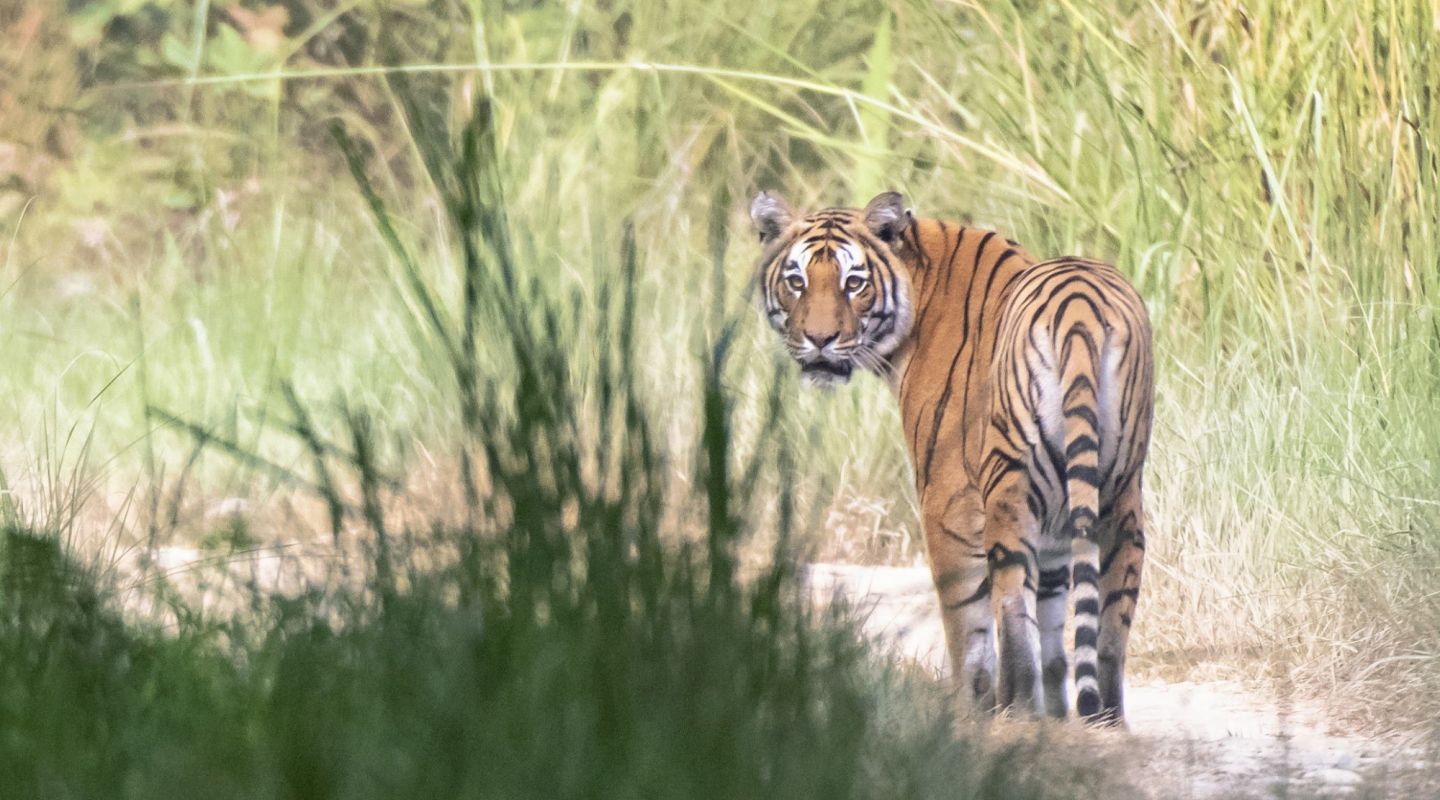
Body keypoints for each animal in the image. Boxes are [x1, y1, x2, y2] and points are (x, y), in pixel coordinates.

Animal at [748, 189, 1152, 722]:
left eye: (853, 283)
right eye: (796, 282)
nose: (819, 341)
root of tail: (1080, 309)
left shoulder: (947, 501)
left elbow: (969, 627)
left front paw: (971, 712)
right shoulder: (1056, 526)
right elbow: (1053, 621)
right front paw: (1058, 719)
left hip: (1008, 489)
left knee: (1009, 610)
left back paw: (1017, 711)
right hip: (1121, 495)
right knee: (1109, 628)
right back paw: (1106, 721)